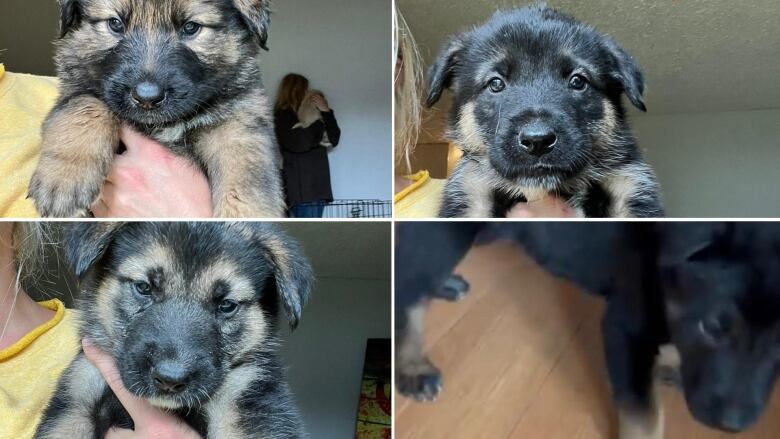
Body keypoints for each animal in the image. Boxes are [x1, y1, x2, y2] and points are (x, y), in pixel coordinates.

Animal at [31, 0, 286, 218]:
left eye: (190, 27)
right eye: (115, 23)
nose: (147, 97)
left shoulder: (240, 120)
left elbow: (246, 173)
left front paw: (247, 214)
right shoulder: (76, 90)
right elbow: (85, 105)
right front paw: (64, 178)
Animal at [396, 225, 780, 438]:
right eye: (712, 327)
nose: (731, 425)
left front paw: (672, 368)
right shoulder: (624, 327)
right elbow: (643, 418)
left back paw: (444, 284)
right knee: (409, 290)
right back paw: (413, 366)